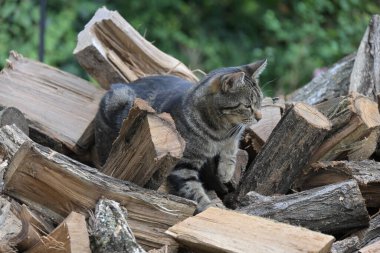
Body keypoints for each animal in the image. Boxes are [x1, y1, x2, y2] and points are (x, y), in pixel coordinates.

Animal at [95, 59, 268, 211]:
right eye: (248, 106)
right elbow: (192, 189)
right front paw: (208, 208)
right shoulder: (183, 163)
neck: (221, 130)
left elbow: (231, 147)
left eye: (260, 102)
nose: (260, 117)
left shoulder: (235, 134)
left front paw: (226, 171)